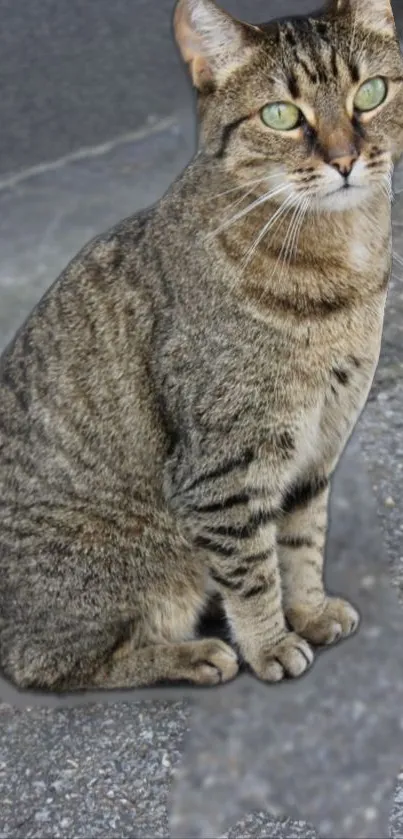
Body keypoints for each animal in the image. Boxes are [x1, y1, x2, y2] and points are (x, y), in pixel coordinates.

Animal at [0, 0, 403, 692]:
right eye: (281, 115)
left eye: (370, 94)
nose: (346, 159)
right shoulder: (226, 468)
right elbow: (252, 571)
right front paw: (271, 644)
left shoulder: (317, 449)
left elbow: (302, 543)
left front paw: (308, 611)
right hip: (137, 558)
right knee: (51, 663)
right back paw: (195, 655)